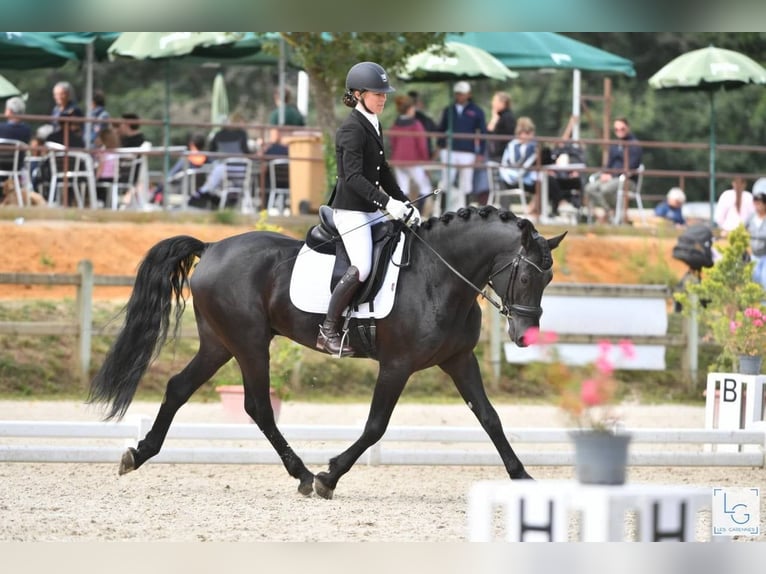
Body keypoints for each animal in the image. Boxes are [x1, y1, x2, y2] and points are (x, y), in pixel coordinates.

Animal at [93, 207, 568, 500]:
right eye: (527, 276)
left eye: (548, 279)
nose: (526, 337)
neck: (439, 276)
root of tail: (211, 248)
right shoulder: (397, 365)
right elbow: (376, 426)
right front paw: (329, 476)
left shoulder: (459, 360)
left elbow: (490, 418)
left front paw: (522, 476)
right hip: (248, 343)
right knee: (258, 406)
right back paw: (304, 475)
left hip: (218, 343)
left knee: (178, 389)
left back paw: (138, 453)